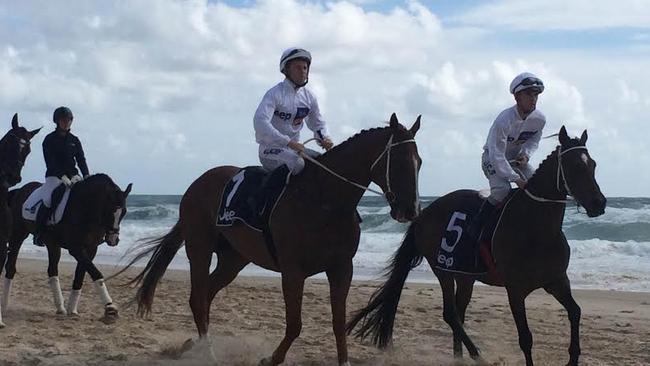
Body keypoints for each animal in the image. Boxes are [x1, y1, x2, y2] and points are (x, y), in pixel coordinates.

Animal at [2, 174, 132, 324]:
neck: (86, 207)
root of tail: (20, 191)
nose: (113, 240)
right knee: (11, 267)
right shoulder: (75, 249)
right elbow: (96, 273)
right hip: (18, 235)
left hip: (53, 244)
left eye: (124, 212)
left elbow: (80, 276)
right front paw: (110, 307)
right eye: (109, 211)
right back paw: (4, 305)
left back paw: (61, 308)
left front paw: (72, 309)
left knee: (52, 271)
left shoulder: (91, 249)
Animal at [122, 113, 422, 364]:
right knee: (197, 297)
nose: (410, 211)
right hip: (200, 248)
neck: (324, 200)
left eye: (418, 162)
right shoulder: (292, 271)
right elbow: (295, 323)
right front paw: (271, 359)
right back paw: (207, 352)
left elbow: (338, 322)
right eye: (397, 162)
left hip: (233, 259)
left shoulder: (341, 268)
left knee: (206, 294)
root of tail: (196, 184)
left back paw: (193, 345)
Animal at [346, 126, 604, 366]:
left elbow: (575, 312)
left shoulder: (556, 281)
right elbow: (526, 338)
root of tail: (424, 213)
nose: (599, 203)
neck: (537, 229)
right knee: (450, 314)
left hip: (465, 276)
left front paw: (573, 357)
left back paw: (459, 356)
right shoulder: (515, 290)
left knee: (459, 313)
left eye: (592, 164)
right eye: (574, 166)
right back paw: (476, 354)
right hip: (443, 270)